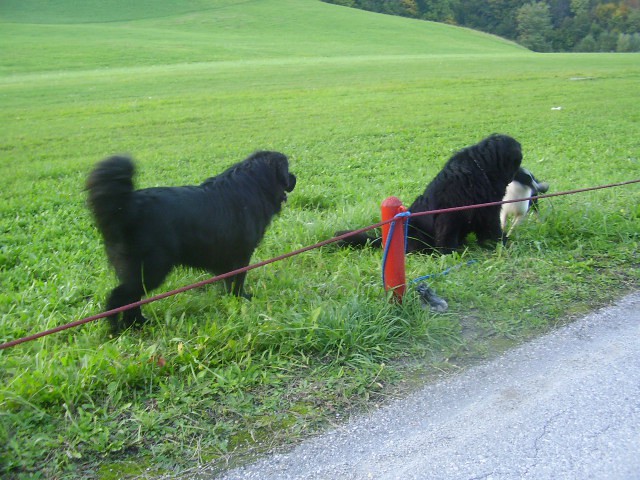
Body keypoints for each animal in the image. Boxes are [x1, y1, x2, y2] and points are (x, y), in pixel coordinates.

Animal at [86, 150, 296, 334]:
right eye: (287, 169)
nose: (294, 177)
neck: (254, 184)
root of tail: (126, 206)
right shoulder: (241, 255)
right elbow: (238, 280)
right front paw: (242, 298)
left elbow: (229, 281)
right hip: (151, 269)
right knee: (119, 297)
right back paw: (118, 327)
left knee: (131, 300)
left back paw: (138, 323)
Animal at [338, 134, 524, 255]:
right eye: (518, 161)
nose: (525, 174)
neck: (480, 170)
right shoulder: (449, 215)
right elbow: (447, 235)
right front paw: (448, 253)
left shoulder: (488, 211)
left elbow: (492, 229)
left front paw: (500, 242)